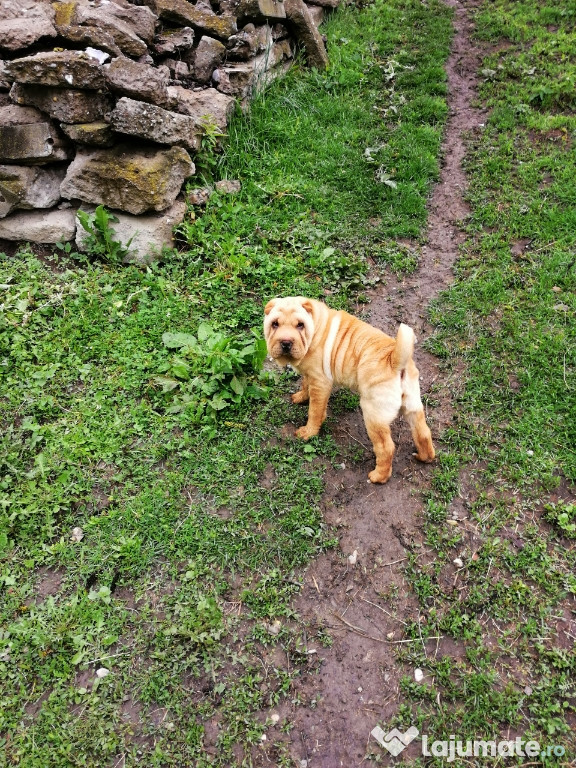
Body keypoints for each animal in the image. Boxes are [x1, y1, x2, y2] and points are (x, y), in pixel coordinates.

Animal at [264, 296, 434, 484]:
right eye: (275, 324)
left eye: (300, 325)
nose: (286, 342)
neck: (315, 328)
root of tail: (394, 360)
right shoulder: (311, 376)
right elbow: (305, 384)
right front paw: (300, 397)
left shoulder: (320, 382)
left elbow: (314, 411)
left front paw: (309, 432)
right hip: (412, 405)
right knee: (423, 432)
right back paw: (425, 457)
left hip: (373, 415)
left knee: (386, 447)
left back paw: (378, 476)